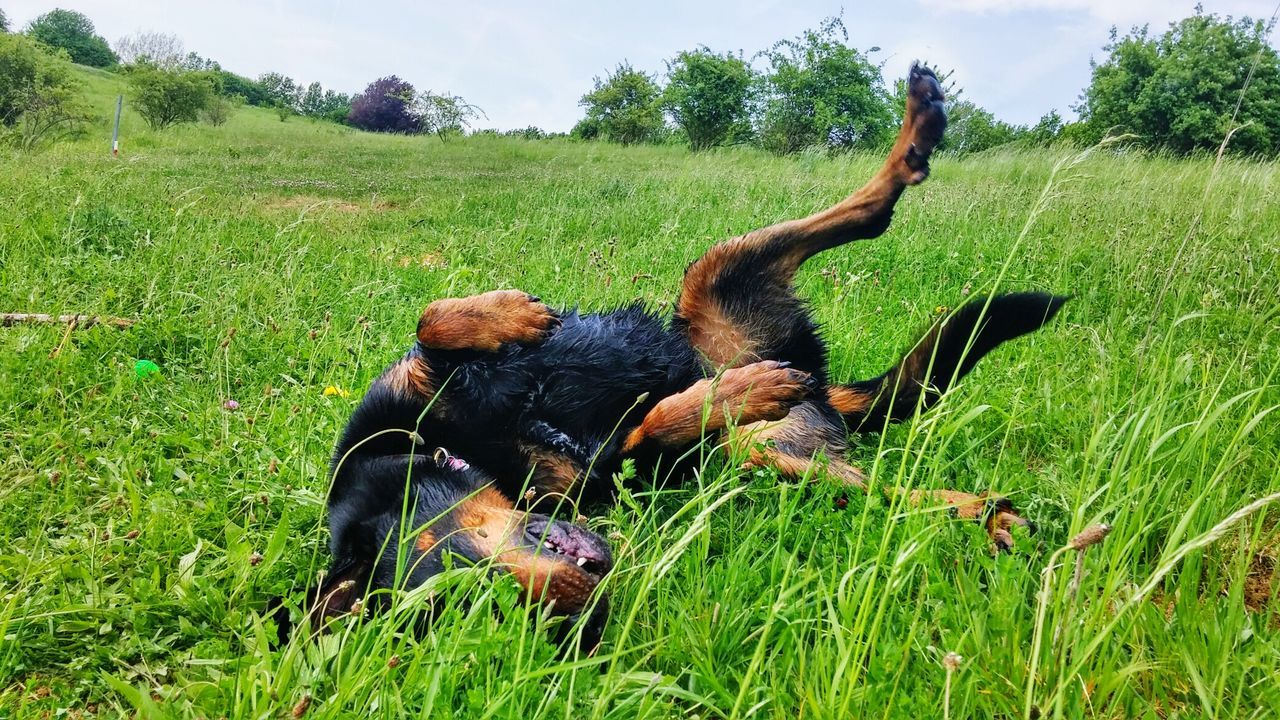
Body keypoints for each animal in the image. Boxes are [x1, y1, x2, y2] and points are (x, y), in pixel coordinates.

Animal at [282, 67, 1070, 648]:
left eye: (464, 577)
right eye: (484, 609)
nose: (585, 608)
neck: (454, 450)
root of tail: (824, 388)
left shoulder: (409, 393)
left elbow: (432, 319)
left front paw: (512, 314)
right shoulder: (605, 469)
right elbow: (659, 423)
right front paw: (734, 394)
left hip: (713, 278)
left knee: (868, 214)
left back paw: (917, 128)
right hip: (777, 456)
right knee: (920, 494)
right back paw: (991, 518)